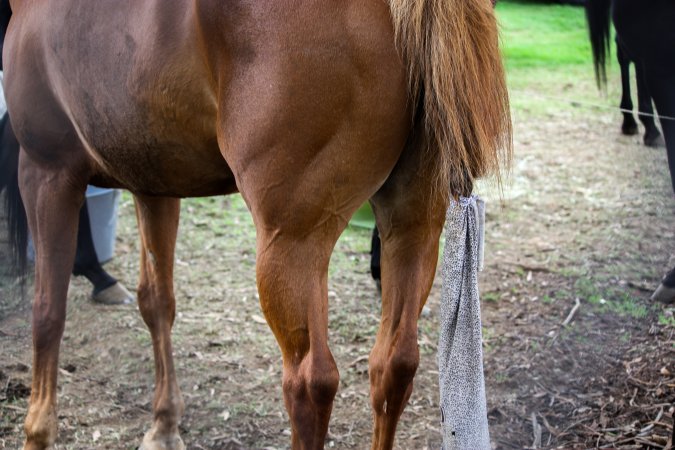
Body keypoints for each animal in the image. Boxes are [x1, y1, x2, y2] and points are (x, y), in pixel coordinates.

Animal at [1, 0, 511, 448]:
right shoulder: (154, 184)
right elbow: (157, 302)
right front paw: (164, 426)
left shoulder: (45, 171)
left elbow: (47, 311)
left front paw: (37, 433)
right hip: (413, 225)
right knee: (394, 364)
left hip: (293, 244)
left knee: (309, 383)